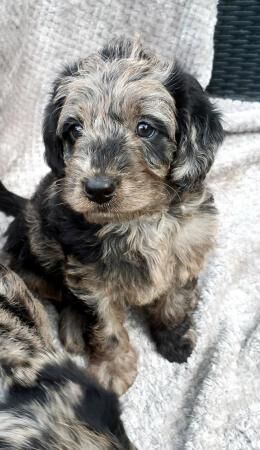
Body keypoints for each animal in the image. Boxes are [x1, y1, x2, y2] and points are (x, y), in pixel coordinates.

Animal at [0, 39, 223, 398]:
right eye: (75, 129)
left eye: (145, 128)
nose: (97, 188)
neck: (138, 219)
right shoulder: (92, 280)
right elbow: (107, 329)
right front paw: (112, 370)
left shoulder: (186, 250)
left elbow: (175, 303)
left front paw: (175, 342)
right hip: (33, 260)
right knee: (62, 298)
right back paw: (73, 329)